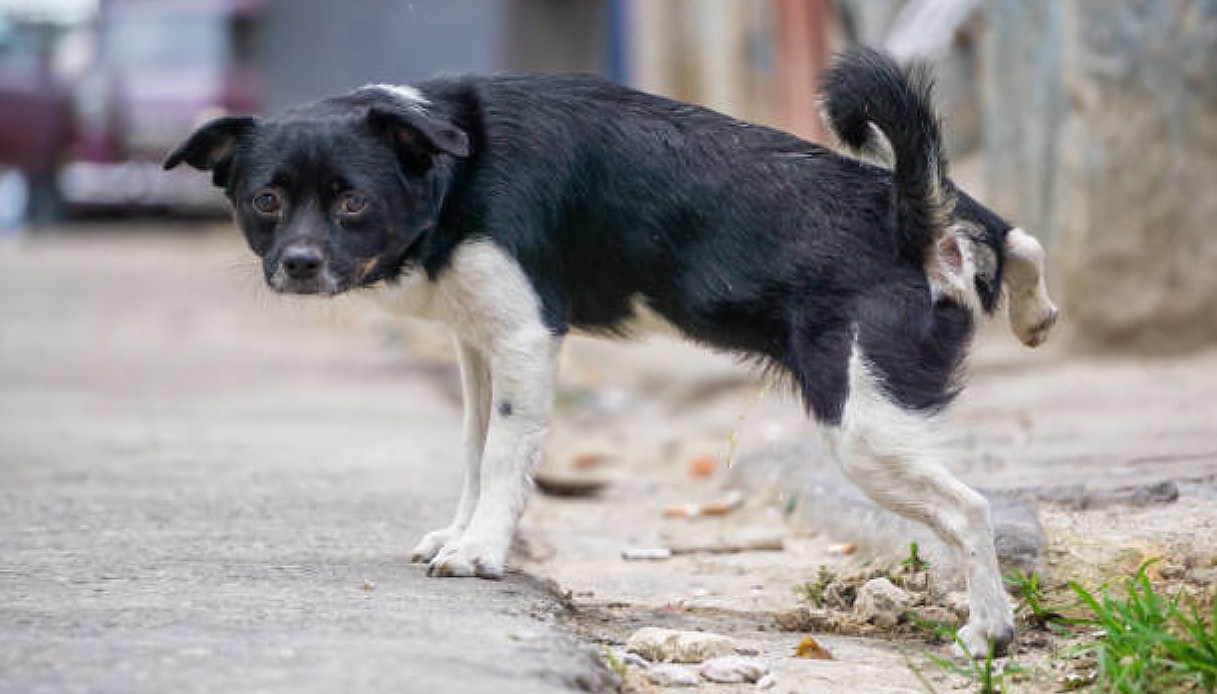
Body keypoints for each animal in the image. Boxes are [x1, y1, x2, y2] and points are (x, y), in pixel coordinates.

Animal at [166, 49, 1061, 652]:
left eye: (351, 201)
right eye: (266, 201)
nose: (298, 265)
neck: (452, 163)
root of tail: (912, 221)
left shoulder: (525, 339)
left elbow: (503, 458)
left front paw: (481, 552)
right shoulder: (477, 345)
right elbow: (472, 449)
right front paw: (458, 534)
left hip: (861, 429)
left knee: (970, 509)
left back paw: (988, 631)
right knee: (1010, 231)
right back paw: (1032, 310)